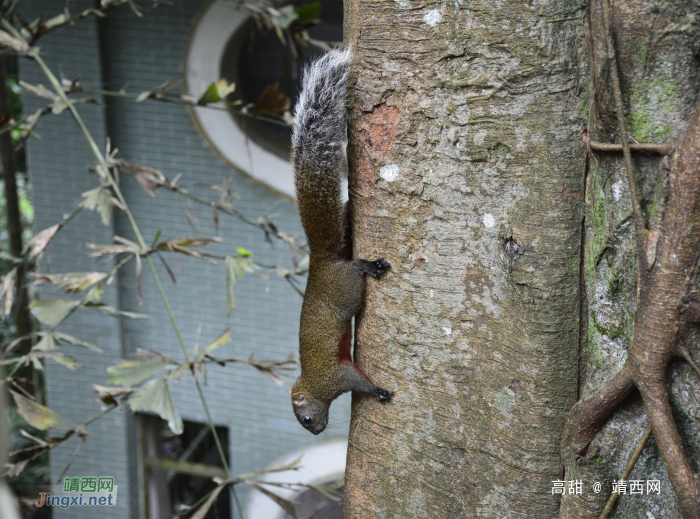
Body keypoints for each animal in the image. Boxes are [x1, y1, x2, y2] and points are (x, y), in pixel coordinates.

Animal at [288, 47, 392, 434]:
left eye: (306, 418)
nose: (317, 430)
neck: (313, 385)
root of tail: (322, 260)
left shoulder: (335, 377)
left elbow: (357, 381)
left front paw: (377, 390)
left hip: (346, 291)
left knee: (355, 274)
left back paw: (368, 265)